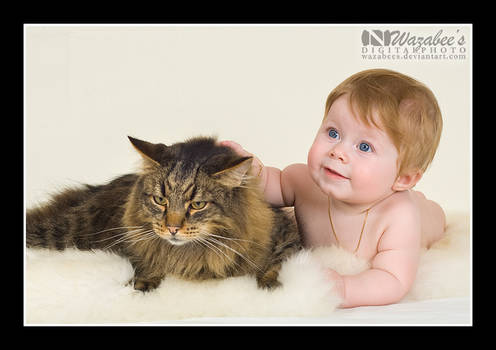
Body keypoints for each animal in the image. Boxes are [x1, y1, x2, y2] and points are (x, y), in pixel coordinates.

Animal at [27, 135, 302, 292]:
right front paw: (143, 284)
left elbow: (277, 262)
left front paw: (269, 285)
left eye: (197, 205)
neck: (192, 256)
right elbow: (148, 263)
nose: (172, 228)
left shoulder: (288, 235)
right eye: (160, 200)